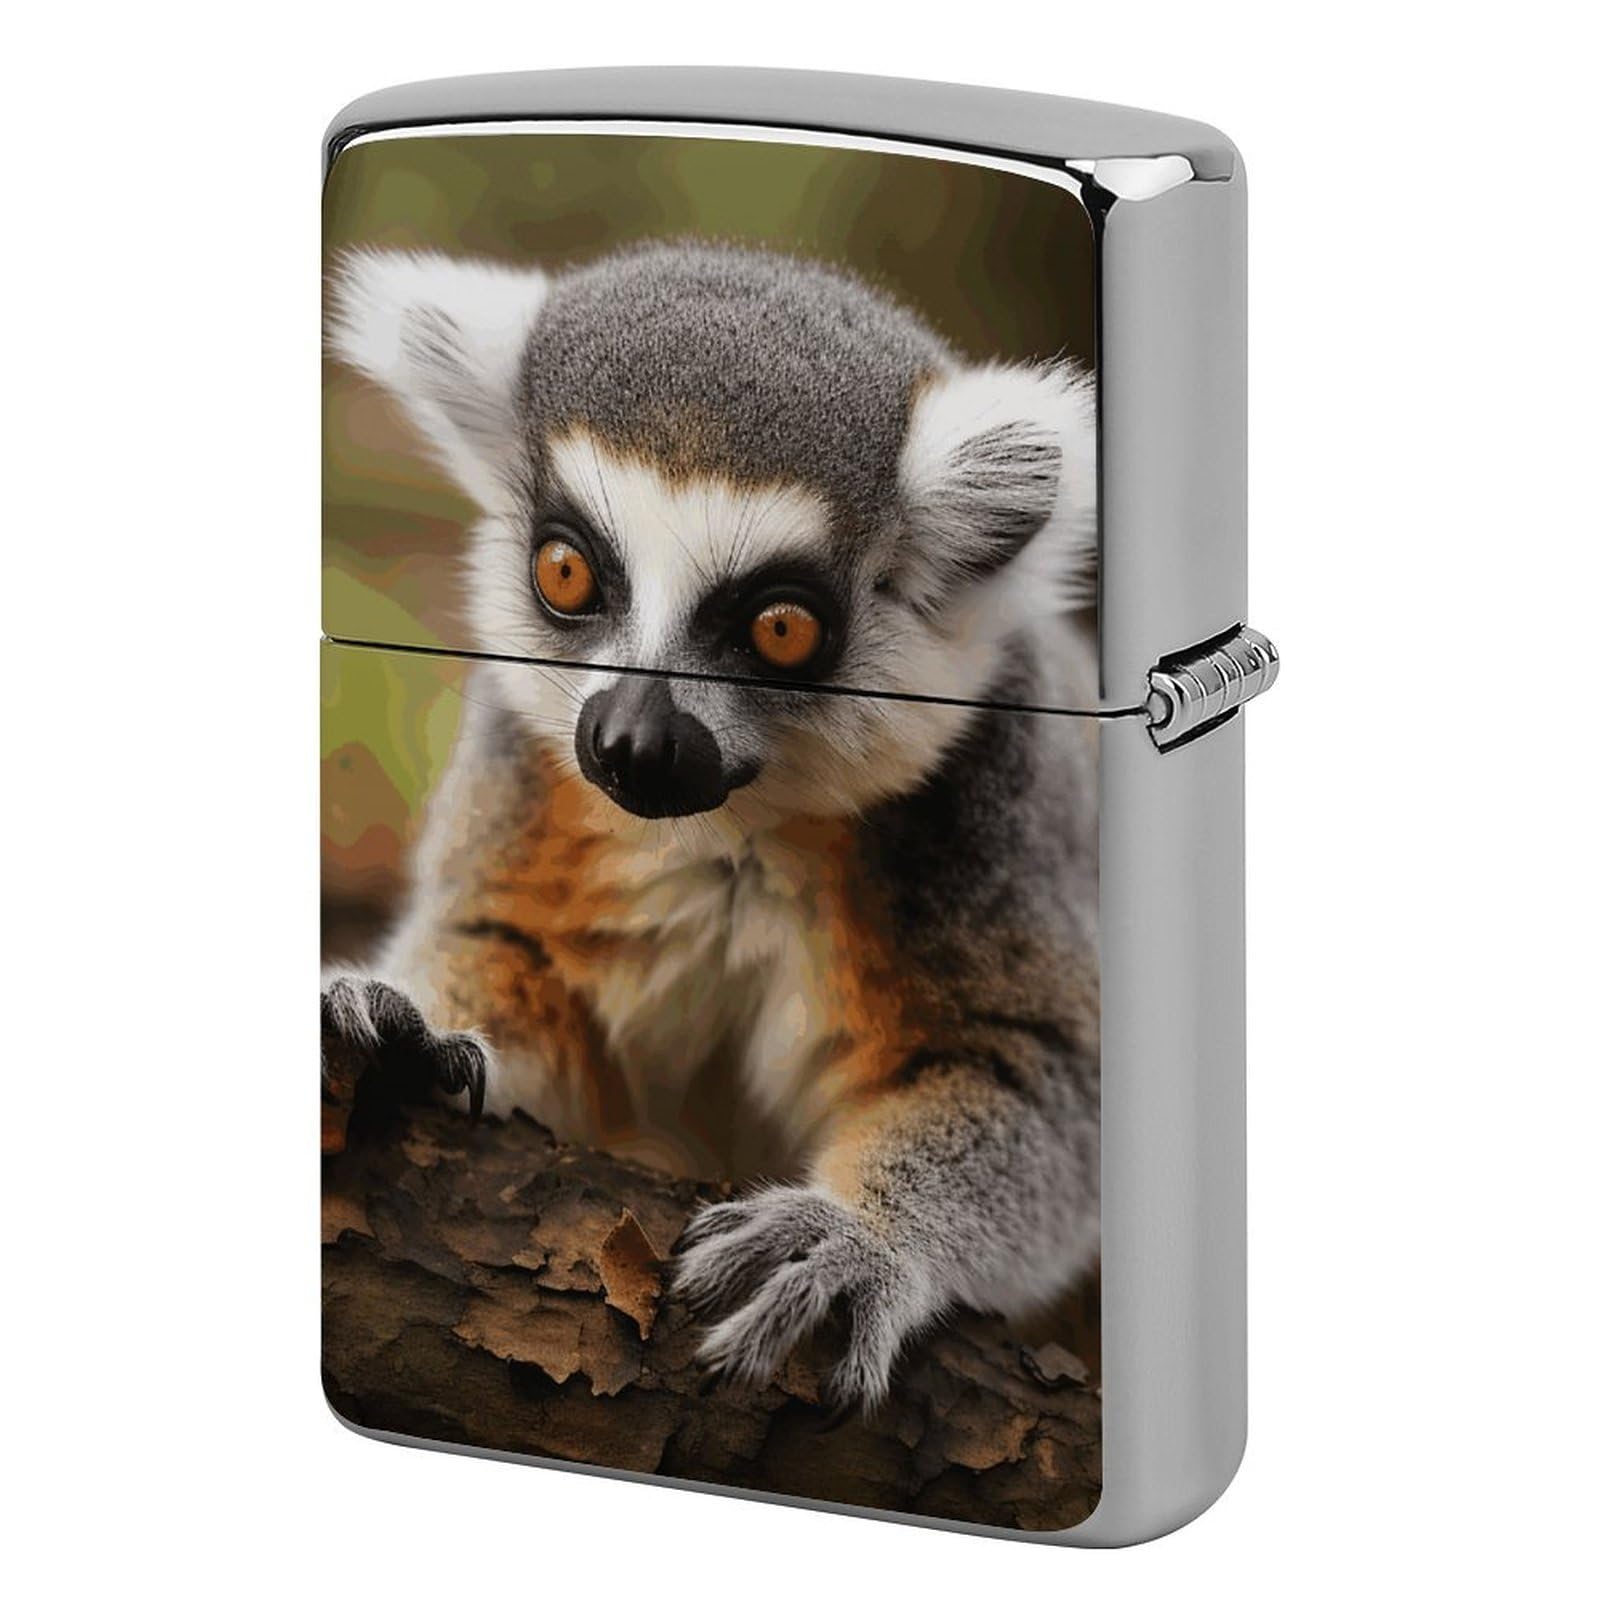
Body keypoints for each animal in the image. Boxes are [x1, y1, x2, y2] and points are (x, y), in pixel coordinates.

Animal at [322, 240, 1101, 1409]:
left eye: (781, 629)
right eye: (566, 571)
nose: (632, 745)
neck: (737, 825)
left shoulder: (997, 799)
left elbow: (1038, 1077)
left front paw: (856, 1234)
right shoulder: (527, 765)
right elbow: (510, 959)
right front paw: (406, 1023)